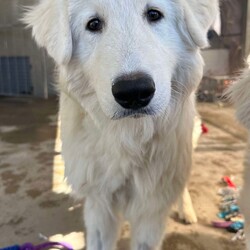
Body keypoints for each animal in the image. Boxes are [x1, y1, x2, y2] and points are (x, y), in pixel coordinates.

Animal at [24, 0, 218, 249]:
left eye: (154, 14)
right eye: (93, 24)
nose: (133, 92)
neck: (129, 138)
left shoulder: (151, 208)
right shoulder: (99, 202)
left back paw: (187, 211)